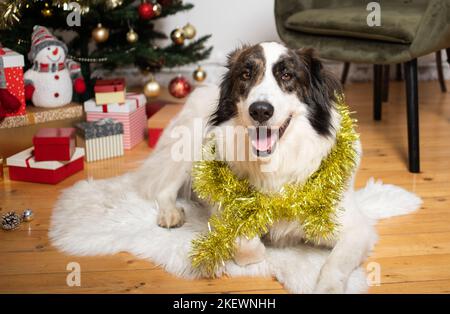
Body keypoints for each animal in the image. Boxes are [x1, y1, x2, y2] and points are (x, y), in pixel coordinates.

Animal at [136, 42, 372, 294]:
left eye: (287, 75)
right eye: (246, 75)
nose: (260, 110)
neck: (276, 162)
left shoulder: (356, 229)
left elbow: (335, 264)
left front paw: (328, 288)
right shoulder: (223, 204)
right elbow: (245, 243)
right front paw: (256, 247)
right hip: (189, 143)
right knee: (165, 187)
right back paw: (169, 213)